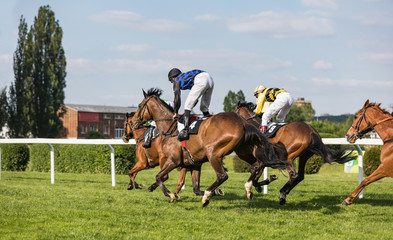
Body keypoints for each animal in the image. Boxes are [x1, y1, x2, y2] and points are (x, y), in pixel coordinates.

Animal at [130, 88, 286, 206]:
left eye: (139, 106)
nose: (134, 122)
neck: (171, 129)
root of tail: (243, 122)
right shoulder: (194, 164)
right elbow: (195, 188)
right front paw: (217, 192)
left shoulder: (173, 161)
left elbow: (158, 176)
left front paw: (171, 195)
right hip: (242, 151)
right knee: (257, 164)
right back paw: (249, 188)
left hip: (213, 153)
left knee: (223, 175)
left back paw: (207, 196)